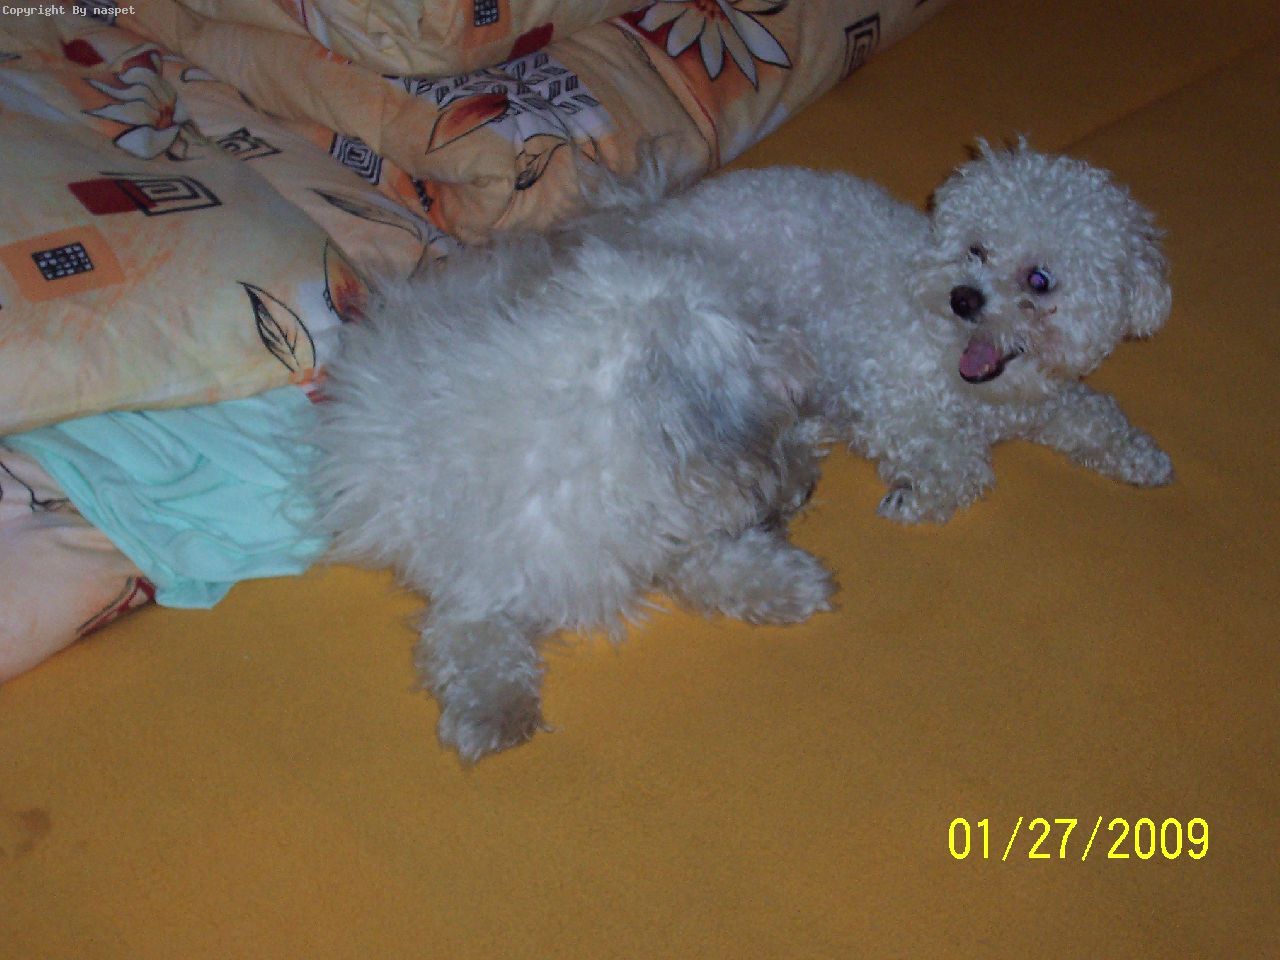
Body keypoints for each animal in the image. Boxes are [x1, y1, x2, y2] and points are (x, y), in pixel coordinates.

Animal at [308, 142, 1172, 761]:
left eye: (1040, 279)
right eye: (975, 251)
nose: (965, 298)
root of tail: (646, 212)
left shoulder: (1047, 400)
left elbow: (1092, 418)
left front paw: (1143, 460)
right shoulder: (894, 403)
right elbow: (958, 467)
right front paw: (913, 498)